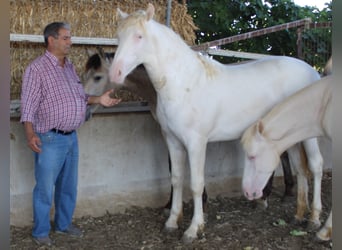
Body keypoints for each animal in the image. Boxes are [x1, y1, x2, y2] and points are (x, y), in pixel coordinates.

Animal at [109, 3, 324, 242]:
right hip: (290, 135)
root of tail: (312, 71)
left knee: (316, 166)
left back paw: (314, 220)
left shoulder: (196, 143)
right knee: (301, 170)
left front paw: (194, 229)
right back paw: (298, 215)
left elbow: (196, 184)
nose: (115, 73)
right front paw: (172, 222)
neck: (184, 83)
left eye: (139, 36)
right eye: (119, 36)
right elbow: (176, 179)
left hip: (308, 134)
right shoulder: (172, 140)